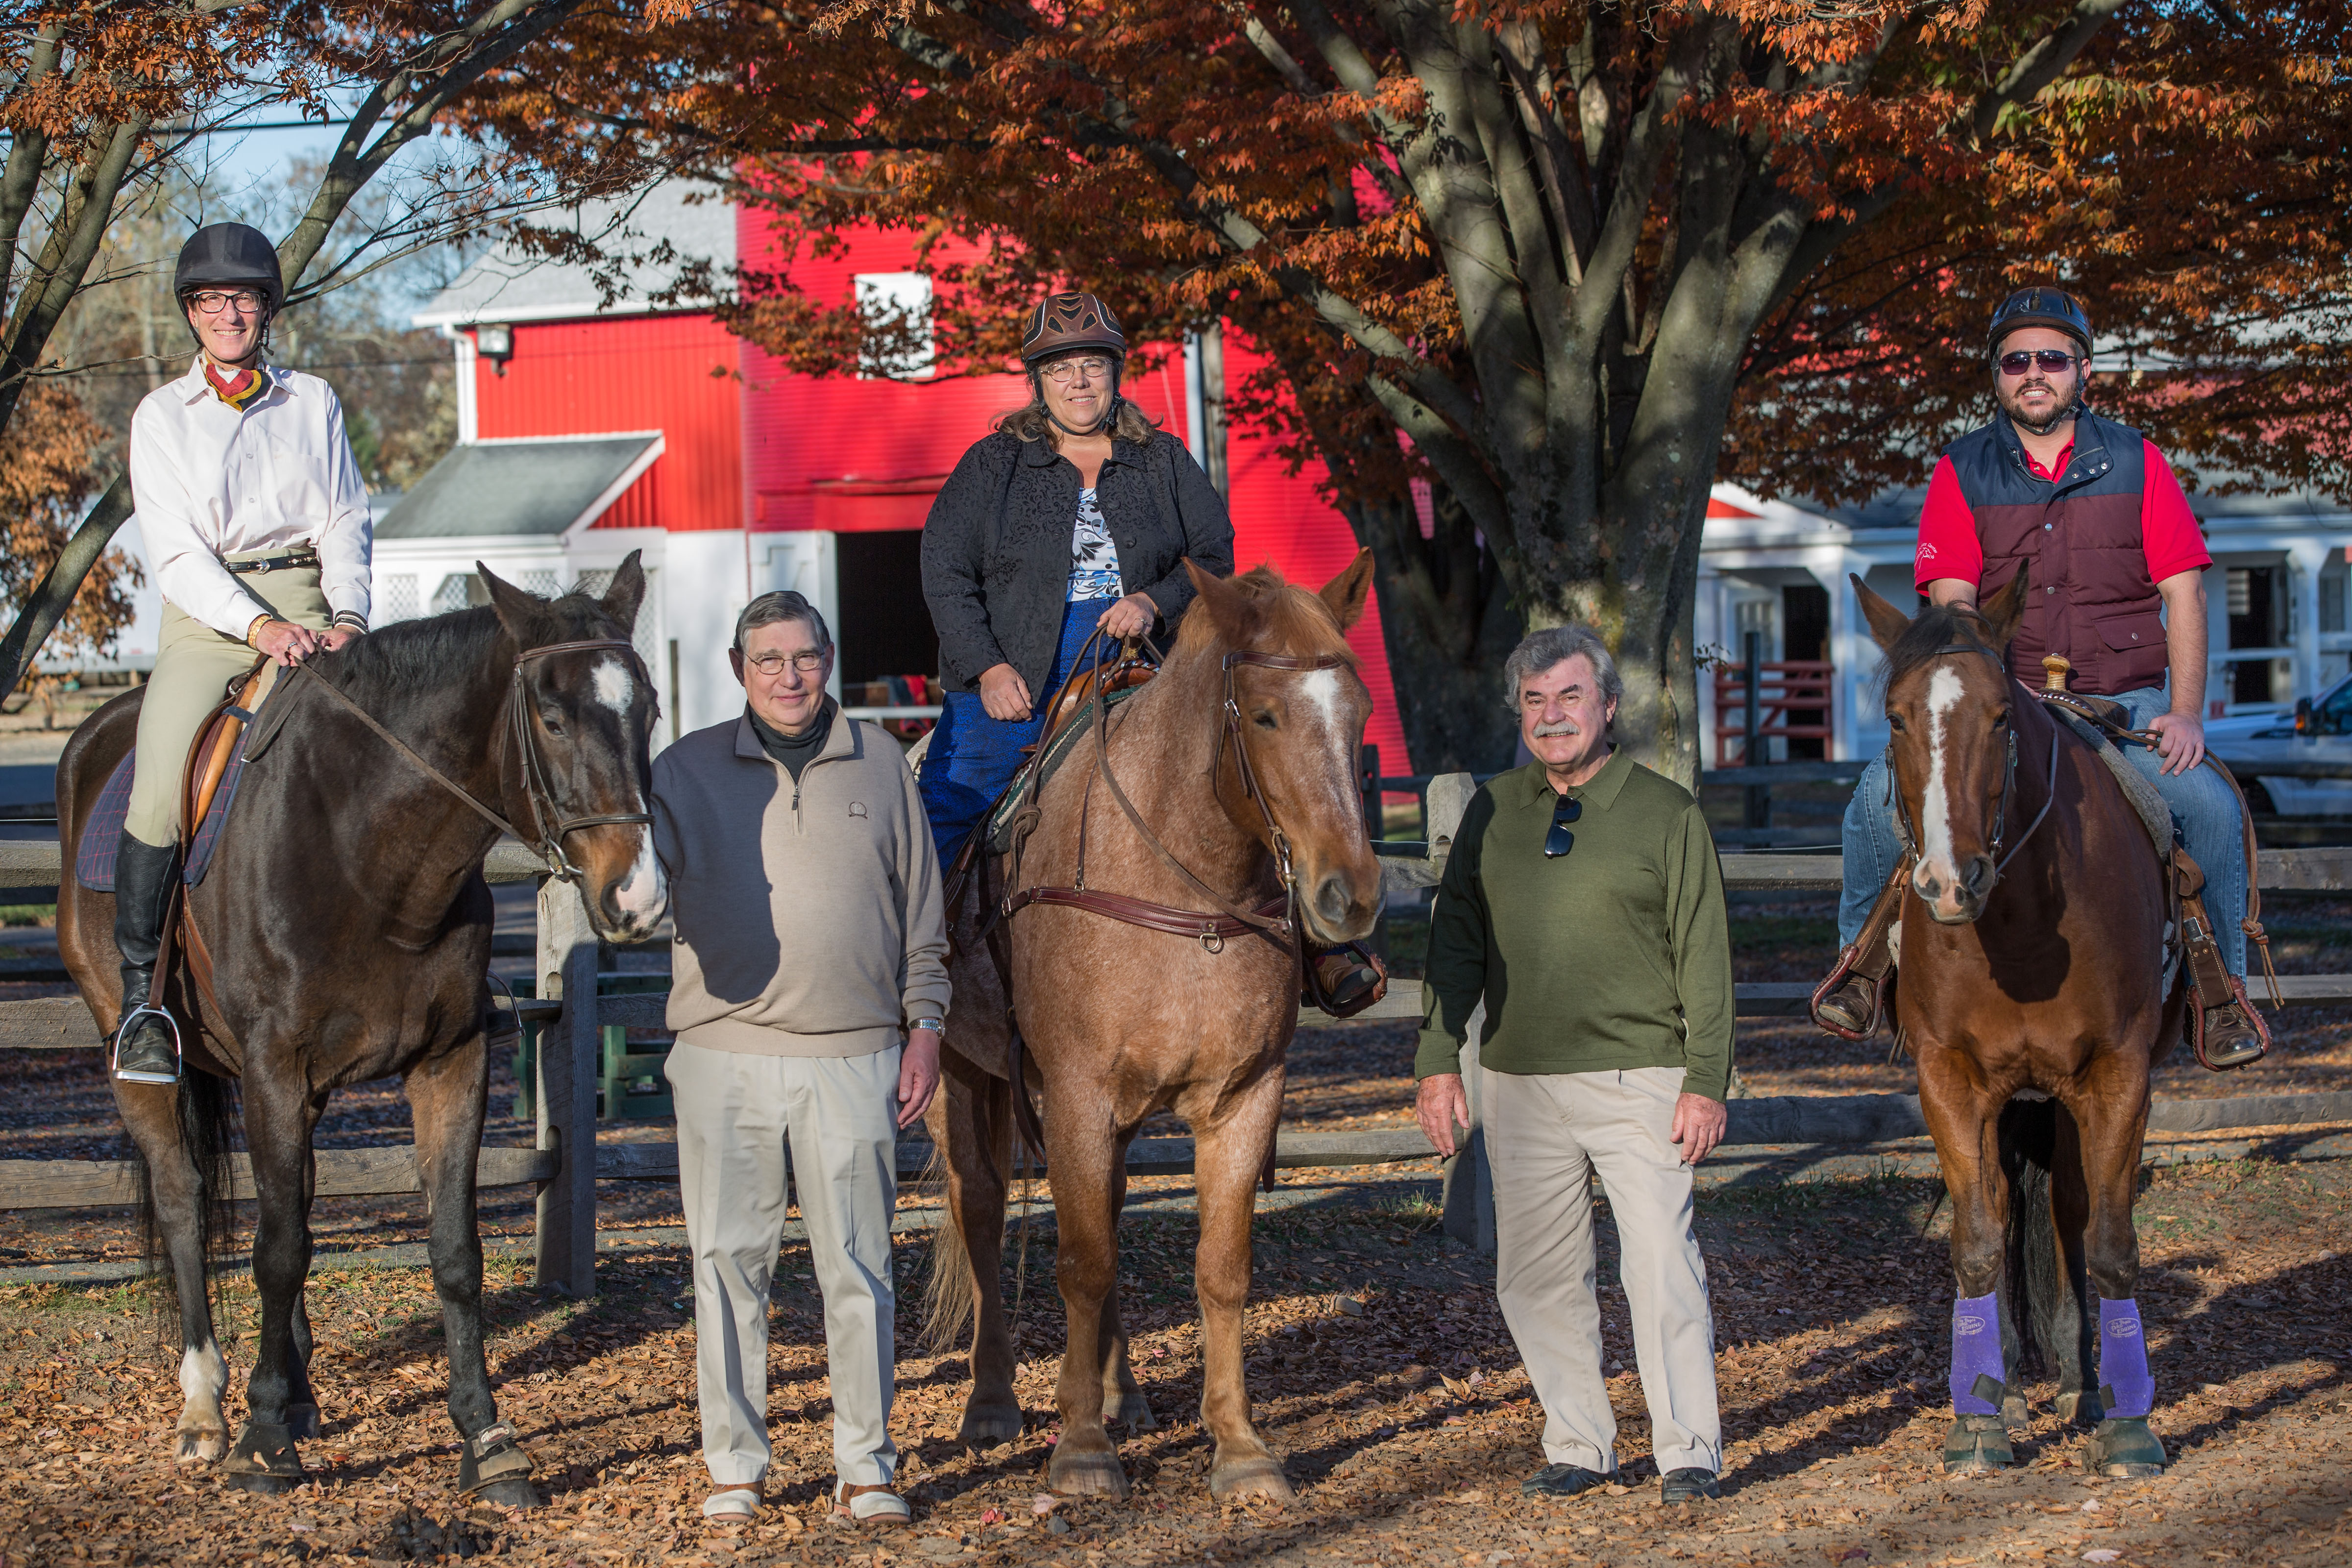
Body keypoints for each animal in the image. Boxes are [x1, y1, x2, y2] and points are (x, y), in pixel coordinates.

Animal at [53, 557, 672, 1504]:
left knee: (292, 1204)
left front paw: (487, 1438)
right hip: (136, 1059)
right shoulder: (276, 1069)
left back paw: (298, 1389)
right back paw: (207, 1411)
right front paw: (264, 1441)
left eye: (650, 710)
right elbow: (277, 1249)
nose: (636, 900)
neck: (364, 851)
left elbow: (451, 1251)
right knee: (185, 1202)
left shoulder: (449, 1064)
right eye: (554, 716)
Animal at [927, 557, 1383, 1504]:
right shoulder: (1074, 1096)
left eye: (1359, 713)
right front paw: (1081, 1451)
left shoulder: (1246, 1099)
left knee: (1108, 1207)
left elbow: (1221, 1268)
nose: (1349, 896)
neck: (1183, 884)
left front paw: (1240, 1448)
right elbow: (1082, 1260)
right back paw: (992, 1405)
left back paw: (1123, 1395)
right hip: (962, 1071)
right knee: (981, 1209)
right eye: (1266, 715)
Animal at [1853, 566, 2182, 1486]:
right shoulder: (1949, 1080)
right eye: (1897, 717)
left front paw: (2130, 1427)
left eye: (2002, 716)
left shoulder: (2118, 1075)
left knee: (2067, 1211)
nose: (1949, 881)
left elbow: (2108, 1242)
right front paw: (1976, 1422)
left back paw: (2082, 1386)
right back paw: (2005, 1391)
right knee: (2002, 1215)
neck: (2022, 925)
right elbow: (1976, 1241)